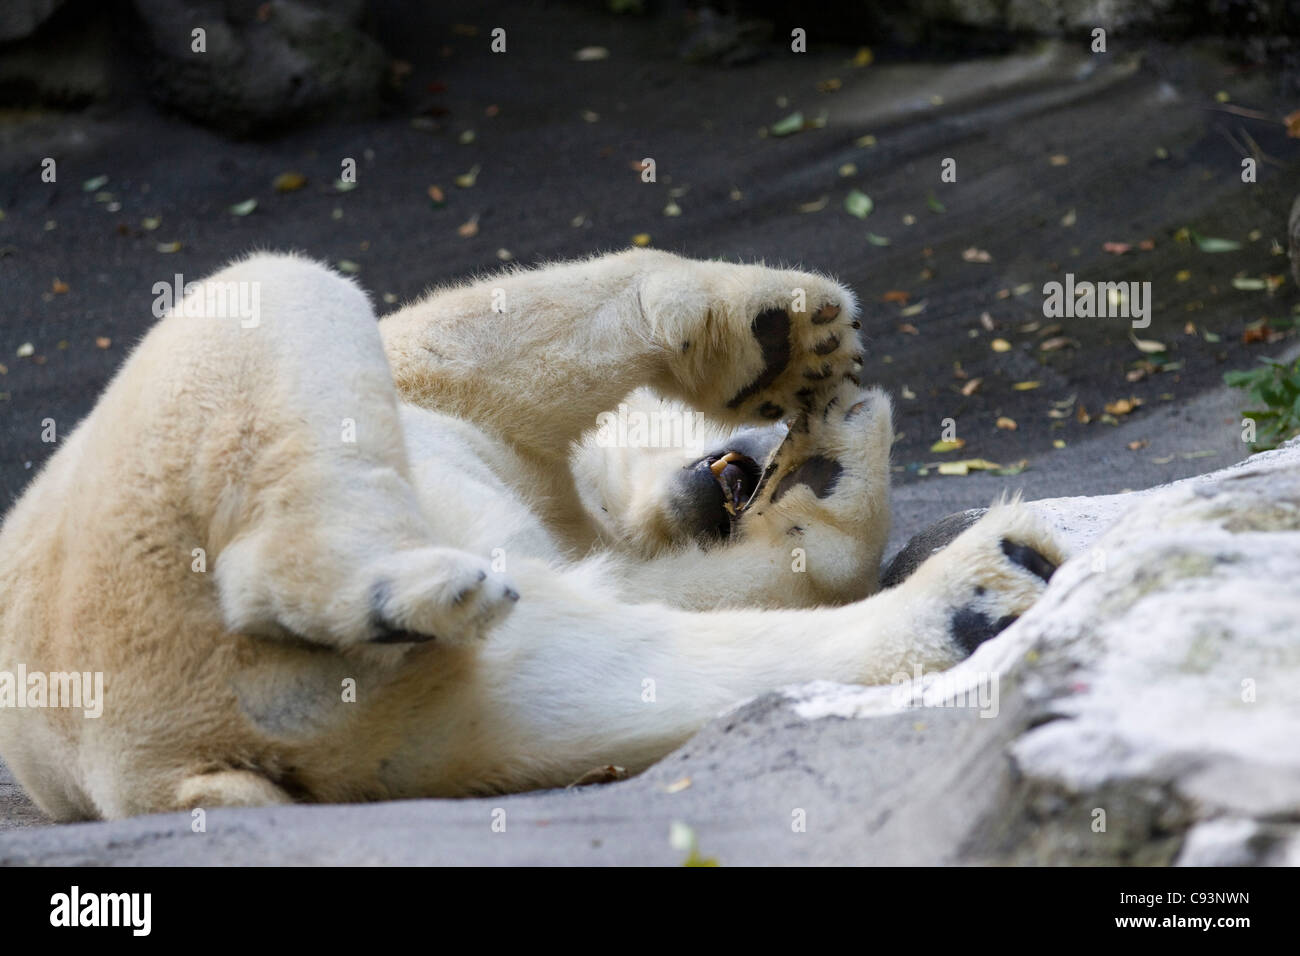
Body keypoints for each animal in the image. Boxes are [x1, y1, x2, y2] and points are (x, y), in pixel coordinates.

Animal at [0, 249, 1061, 819]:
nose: (765, 454)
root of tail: (154, 765)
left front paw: (826, 472)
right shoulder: (449, 400)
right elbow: (485, 340)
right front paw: (782, 336)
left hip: (345, 724)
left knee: (558, 686)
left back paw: (990, 586)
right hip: (131, 535)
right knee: (272, 292)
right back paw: (392, 584)